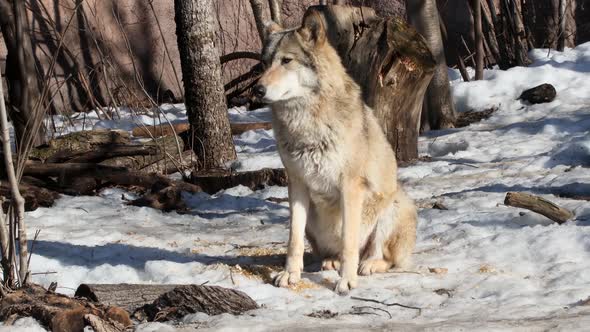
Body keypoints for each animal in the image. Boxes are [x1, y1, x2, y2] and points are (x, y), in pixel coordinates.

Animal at [254, 11, 420, 294]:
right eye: (264, 64)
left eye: (286, 61)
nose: (258, 89)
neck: (305, 122)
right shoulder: (296, 184)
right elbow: (293, 241)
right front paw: (290, 275)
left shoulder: (350, 186)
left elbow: (348, 242)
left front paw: (346, 280)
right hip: (313, 221)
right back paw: (331, 262)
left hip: (394, 205)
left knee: (384, 258)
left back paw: (367, 265)